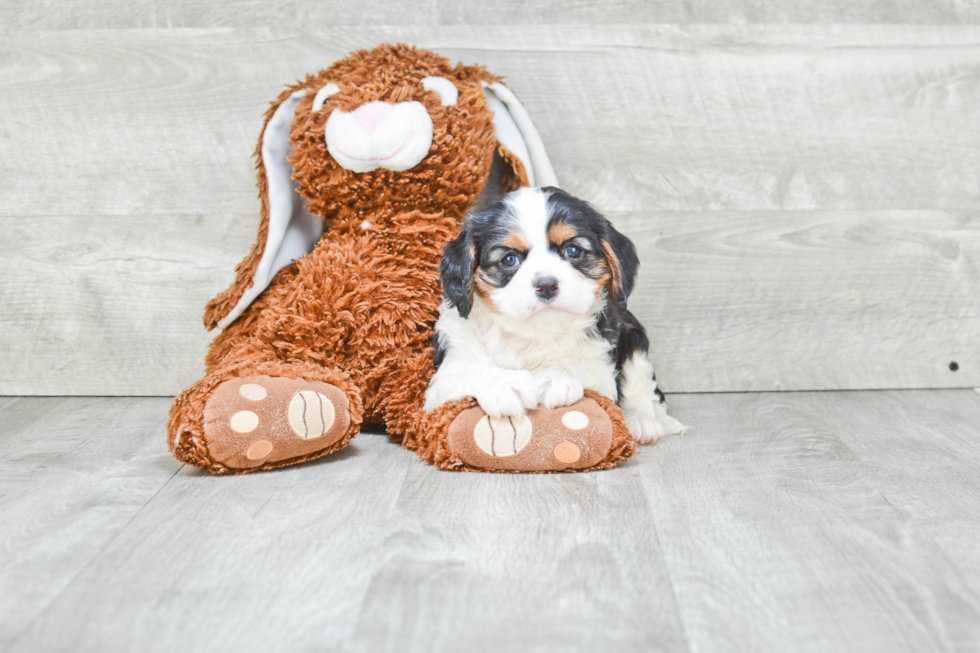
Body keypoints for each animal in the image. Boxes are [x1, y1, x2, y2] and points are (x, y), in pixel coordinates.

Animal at [424, 186, 684, 446]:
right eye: (509, 259)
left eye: (573, 251)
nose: (547, 285)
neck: (534, 331)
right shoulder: (445, 373)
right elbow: (469, 369)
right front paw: (505, 384)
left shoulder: (603, 360)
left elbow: (579, 363)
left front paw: (554, 377)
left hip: (633, 336)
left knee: (642, 387)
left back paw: (643, 422)